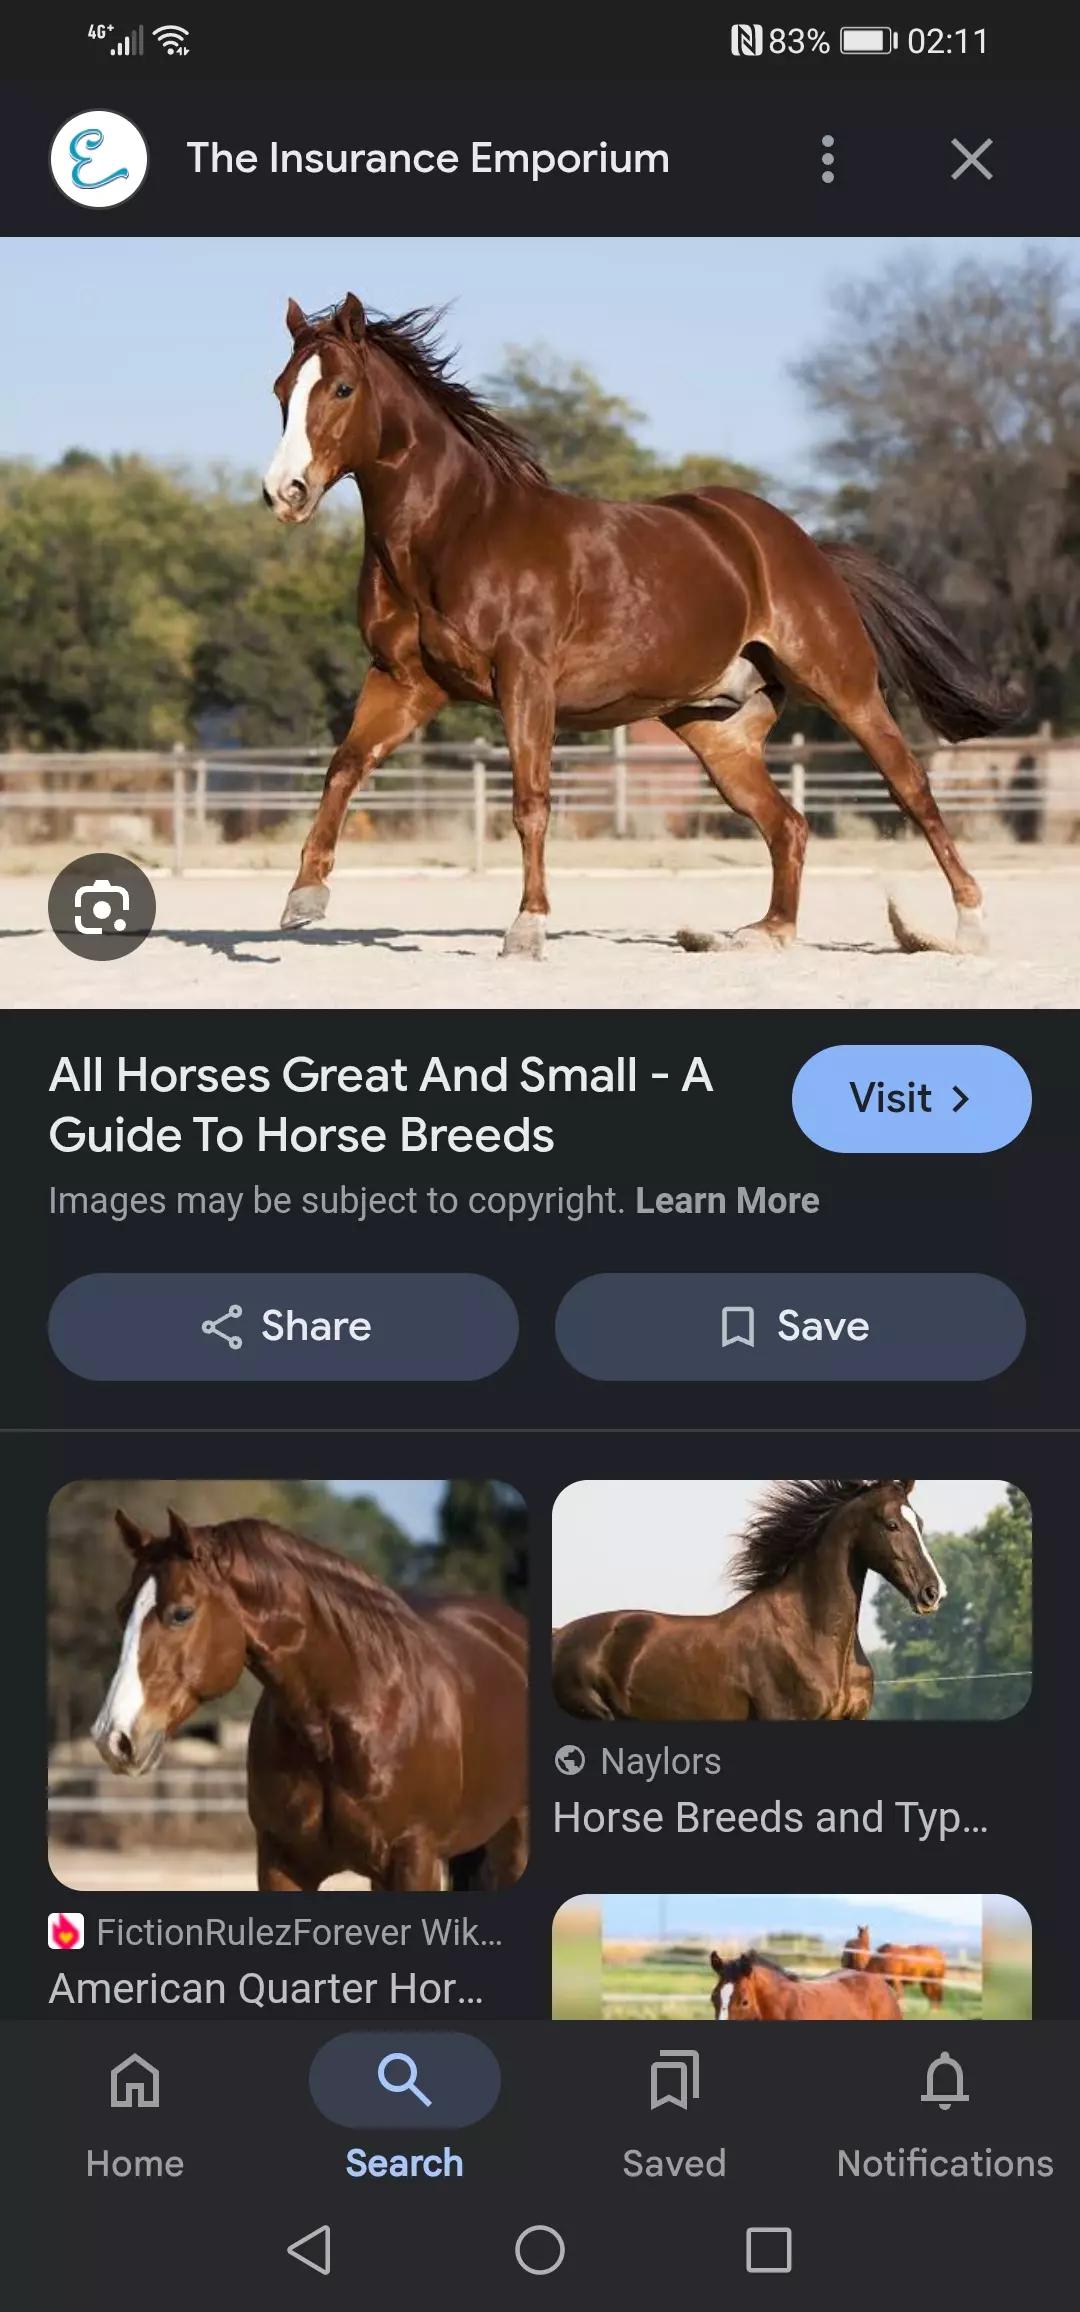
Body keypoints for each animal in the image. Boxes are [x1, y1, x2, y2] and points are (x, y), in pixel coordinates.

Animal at [263, 294, 1019, 960]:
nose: (284, 493)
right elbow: (345, 766)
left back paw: (970, 928)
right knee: (788, 824)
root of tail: (799, 546)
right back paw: (764, 934)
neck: (456, 531)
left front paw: (527, 930)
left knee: (911, 790)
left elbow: (530, 802)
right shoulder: (404, 681)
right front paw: (304, 898)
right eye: (280, 391)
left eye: (341, 388)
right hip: (716, 732)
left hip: (845, 687)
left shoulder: (523, 681)